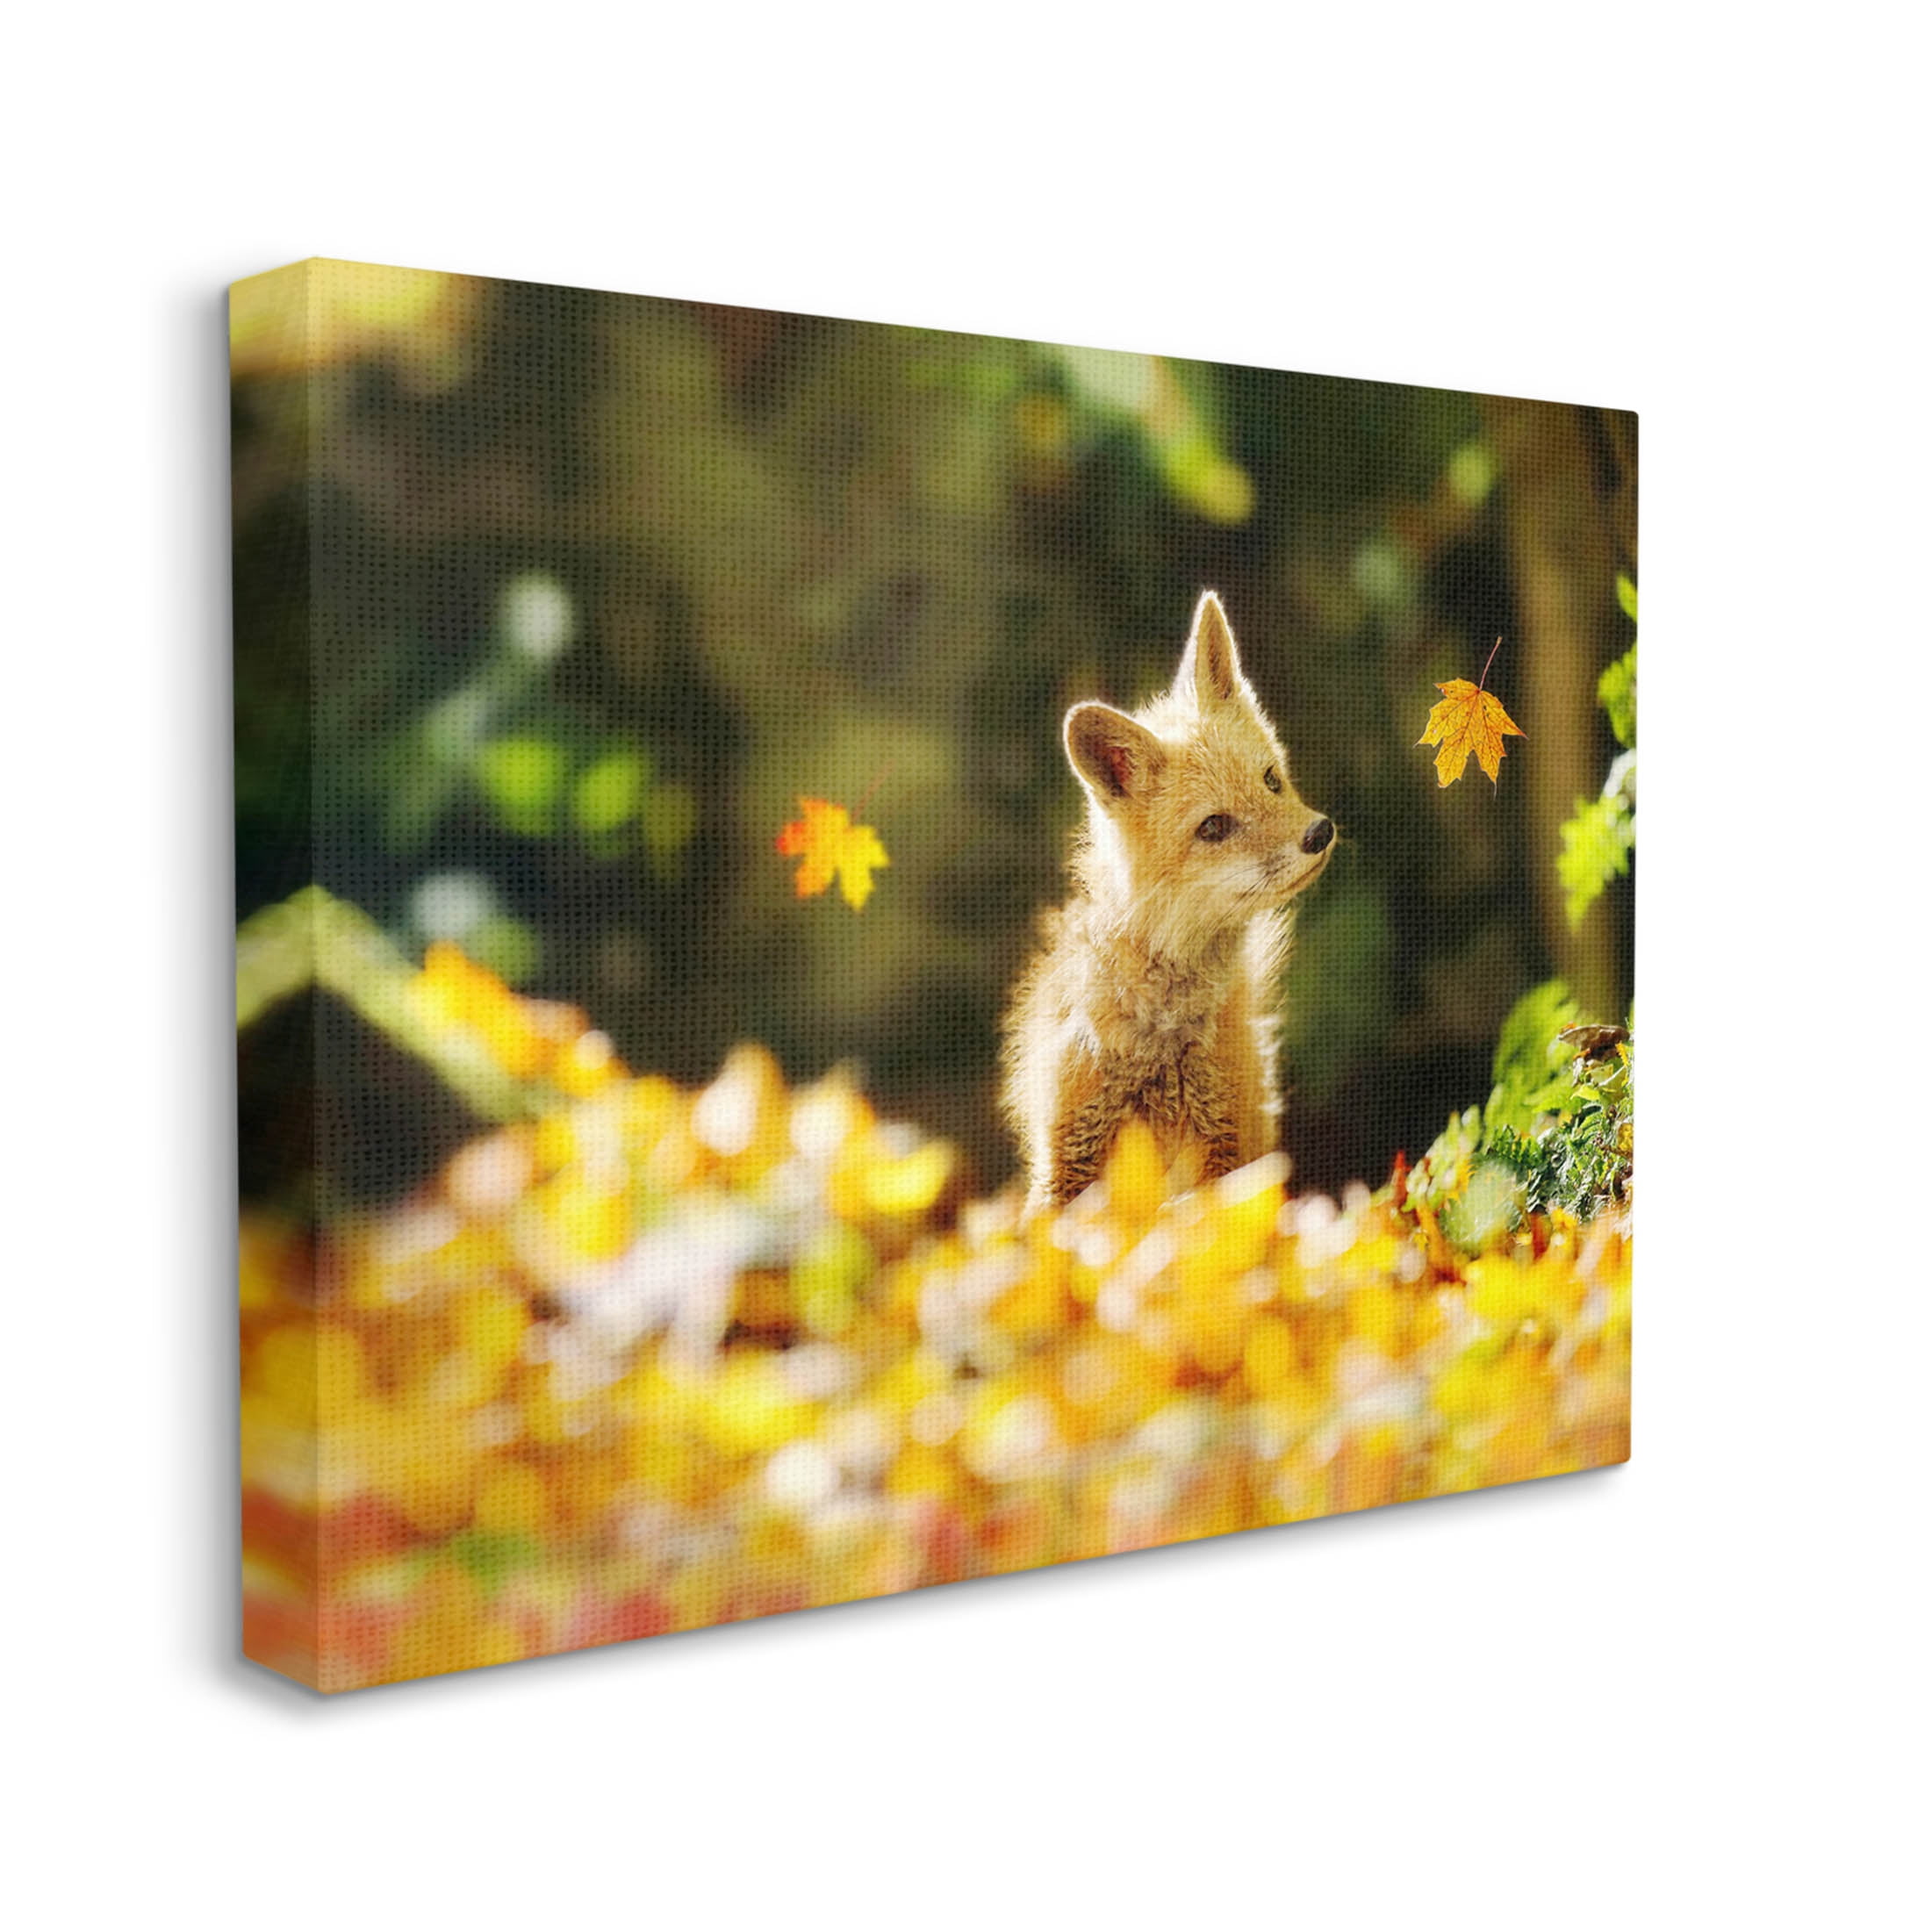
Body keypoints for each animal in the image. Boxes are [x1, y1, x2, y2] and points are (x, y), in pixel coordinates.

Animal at [1001, 591, 1334, 1211]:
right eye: (1214, 826)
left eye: (1271, 780)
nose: (1319, 834)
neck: (1162, 1040)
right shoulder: (1069, 1151)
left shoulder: (1226, 1144)